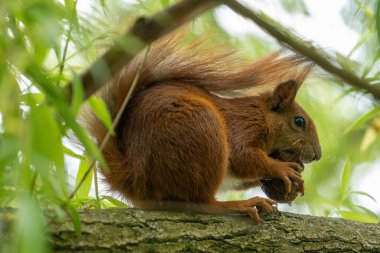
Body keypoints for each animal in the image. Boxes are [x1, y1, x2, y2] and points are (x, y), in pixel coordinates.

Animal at [81, 34, 320, 221]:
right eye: (299, 121)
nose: (317, 155)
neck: (262, 115)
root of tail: (134, 180)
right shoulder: (243, 125)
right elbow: (243, 157)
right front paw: (281, 168)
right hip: (201, 129)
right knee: (201, 202)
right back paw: (235, 205)